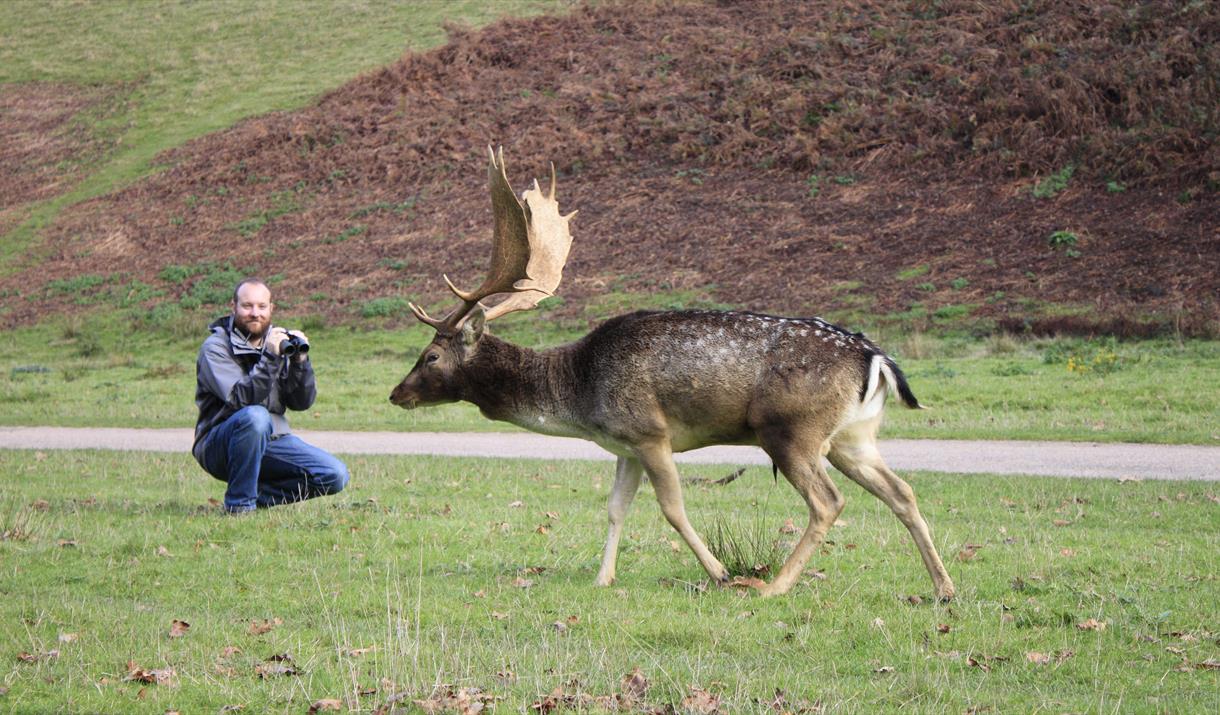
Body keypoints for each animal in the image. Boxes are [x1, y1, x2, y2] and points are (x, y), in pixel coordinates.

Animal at [390, 147, 951, 597]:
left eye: (431, 356)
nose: (397, 394)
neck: (579, 395)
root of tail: (876, 358)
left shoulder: (650, 431)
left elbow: (672, 508)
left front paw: (719, 573)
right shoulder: (624, 445)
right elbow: (615, 508)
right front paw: (603, 578)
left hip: (791, 430)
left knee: (828, 502)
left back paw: (773, 587)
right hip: (853, 437)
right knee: (903, 492)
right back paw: (943, 587)